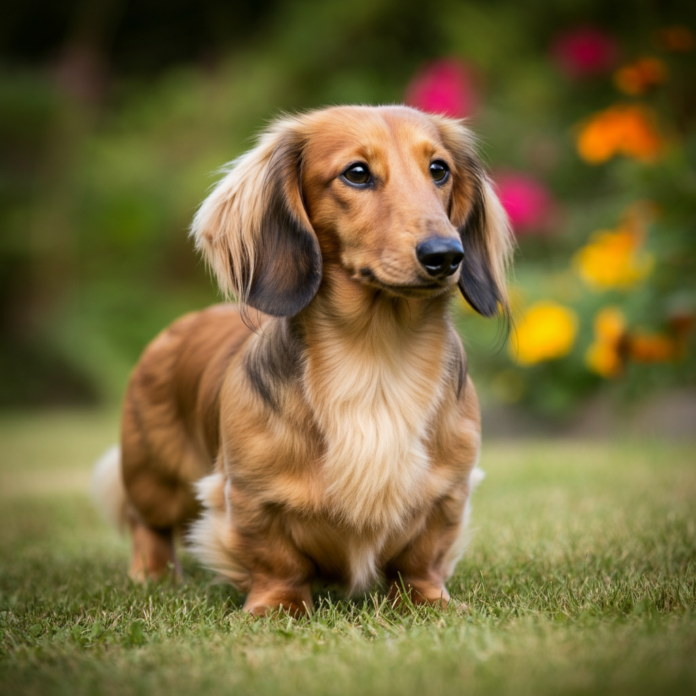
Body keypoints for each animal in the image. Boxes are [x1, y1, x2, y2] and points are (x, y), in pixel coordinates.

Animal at [94, 103, 512, 616]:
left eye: (439, 170)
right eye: (357, 173)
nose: (447, 255)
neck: (376, 357)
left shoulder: (448, 493)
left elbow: (422, 559)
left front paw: (430, 603)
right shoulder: (251, 498)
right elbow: (277, 561)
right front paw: (279, 607)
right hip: (154, 475)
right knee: (146, 522)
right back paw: (152, 574)